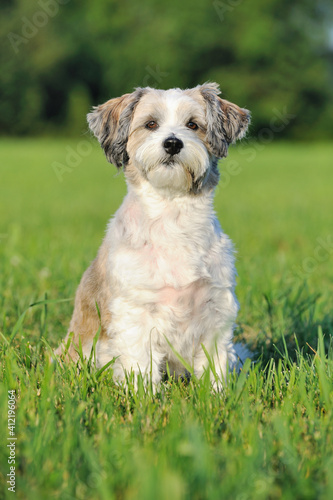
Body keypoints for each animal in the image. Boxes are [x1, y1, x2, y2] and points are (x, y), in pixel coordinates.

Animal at [55, 82, 250, 386]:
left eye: (193, 125)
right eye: (150, 124)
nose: (172, 143)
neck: (172, 215)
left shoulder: (215, 310)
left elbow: (214, 365)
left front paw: (216, 394)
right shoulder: (136, 311)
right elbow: (141, 365)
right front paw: (144, 394)